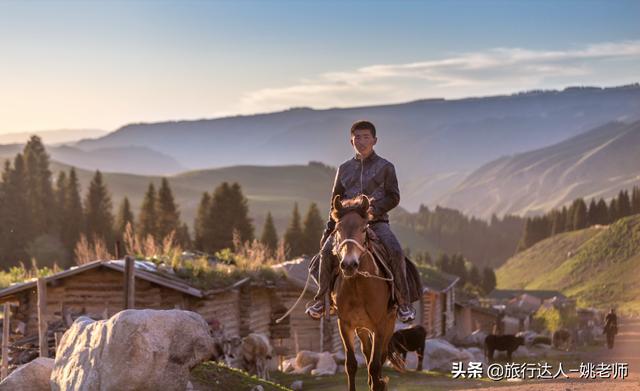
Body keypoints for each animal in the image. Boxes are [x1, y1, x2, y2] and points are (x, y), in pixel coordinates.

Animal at [330, 194, 400, 390]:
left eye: (363, 229)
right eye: (338, 229)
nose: (348, 265)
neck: (358, 286)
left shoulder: (380, 326)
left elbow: (375, 366)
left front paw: (379, 383)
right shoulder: (345, 325)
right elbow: (351, 365)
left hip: (389, 324)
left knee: (380, 356)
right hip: (362, 328)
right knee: (367, 351)